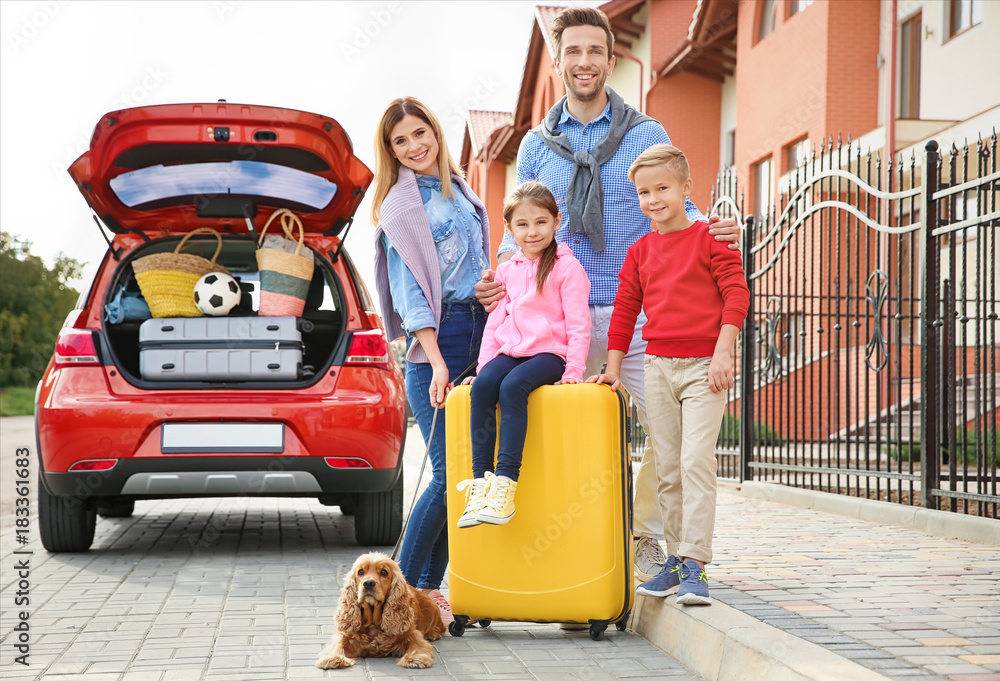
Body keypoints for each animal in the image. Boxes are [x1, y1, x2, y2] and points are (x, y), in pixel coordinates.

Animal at [316, 548, 446, 668]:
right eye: (361, 572)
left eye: (384, 572)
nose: (368, 583)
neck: (373, 623)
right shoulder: (345, 635)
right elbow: (337, 645)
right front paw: (333, 658)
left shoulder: (412, 634)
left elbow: (416, 645)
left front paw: (415, 659)